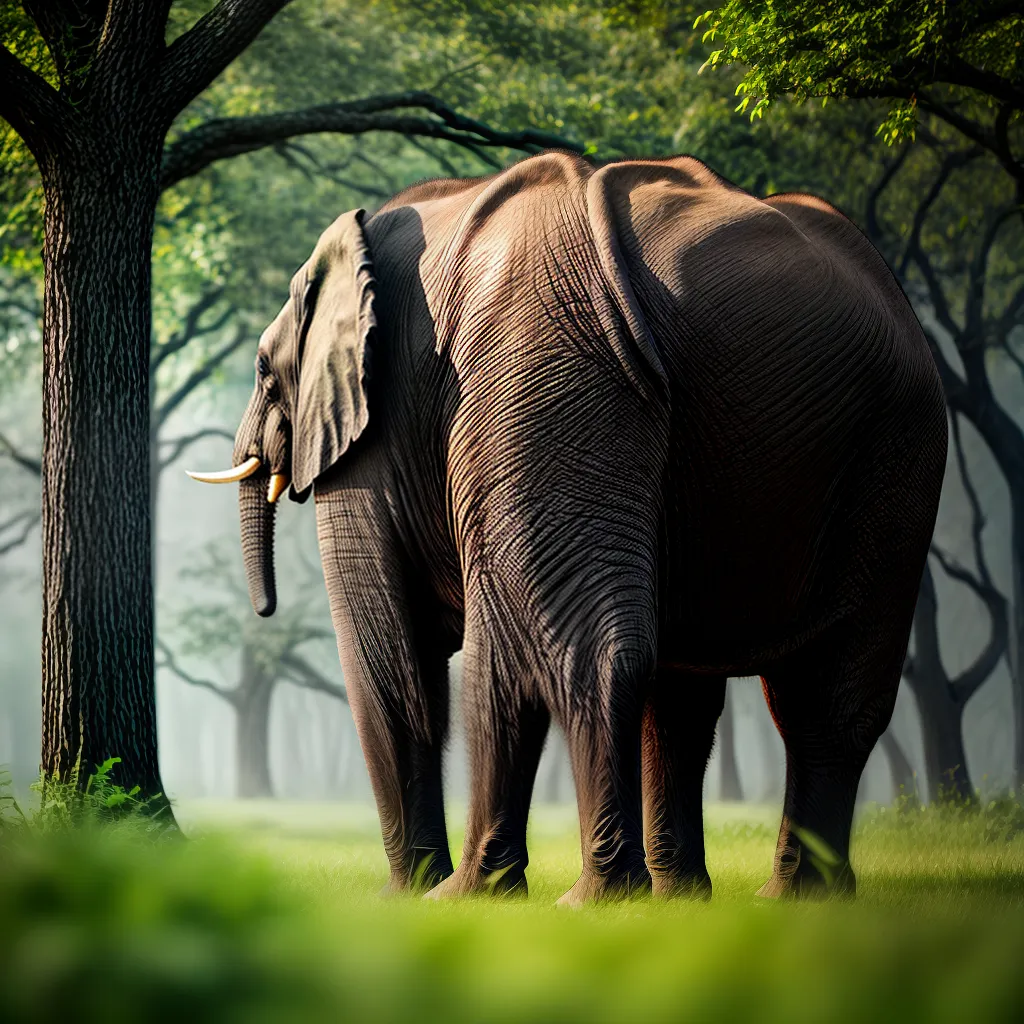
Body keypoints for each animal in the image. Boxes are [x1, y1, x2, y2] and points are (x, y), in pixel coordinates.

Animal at [189, 152, 947, 904]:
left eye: (263, 371)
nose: (265, 609)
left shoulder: (374, 435)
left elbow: (391, 655)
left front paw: (399, 900)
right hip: (887, 436)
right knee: (814, 694)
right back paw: (747, 899)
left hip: (547, 372)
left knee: (540, 655)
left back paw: (519, 896)